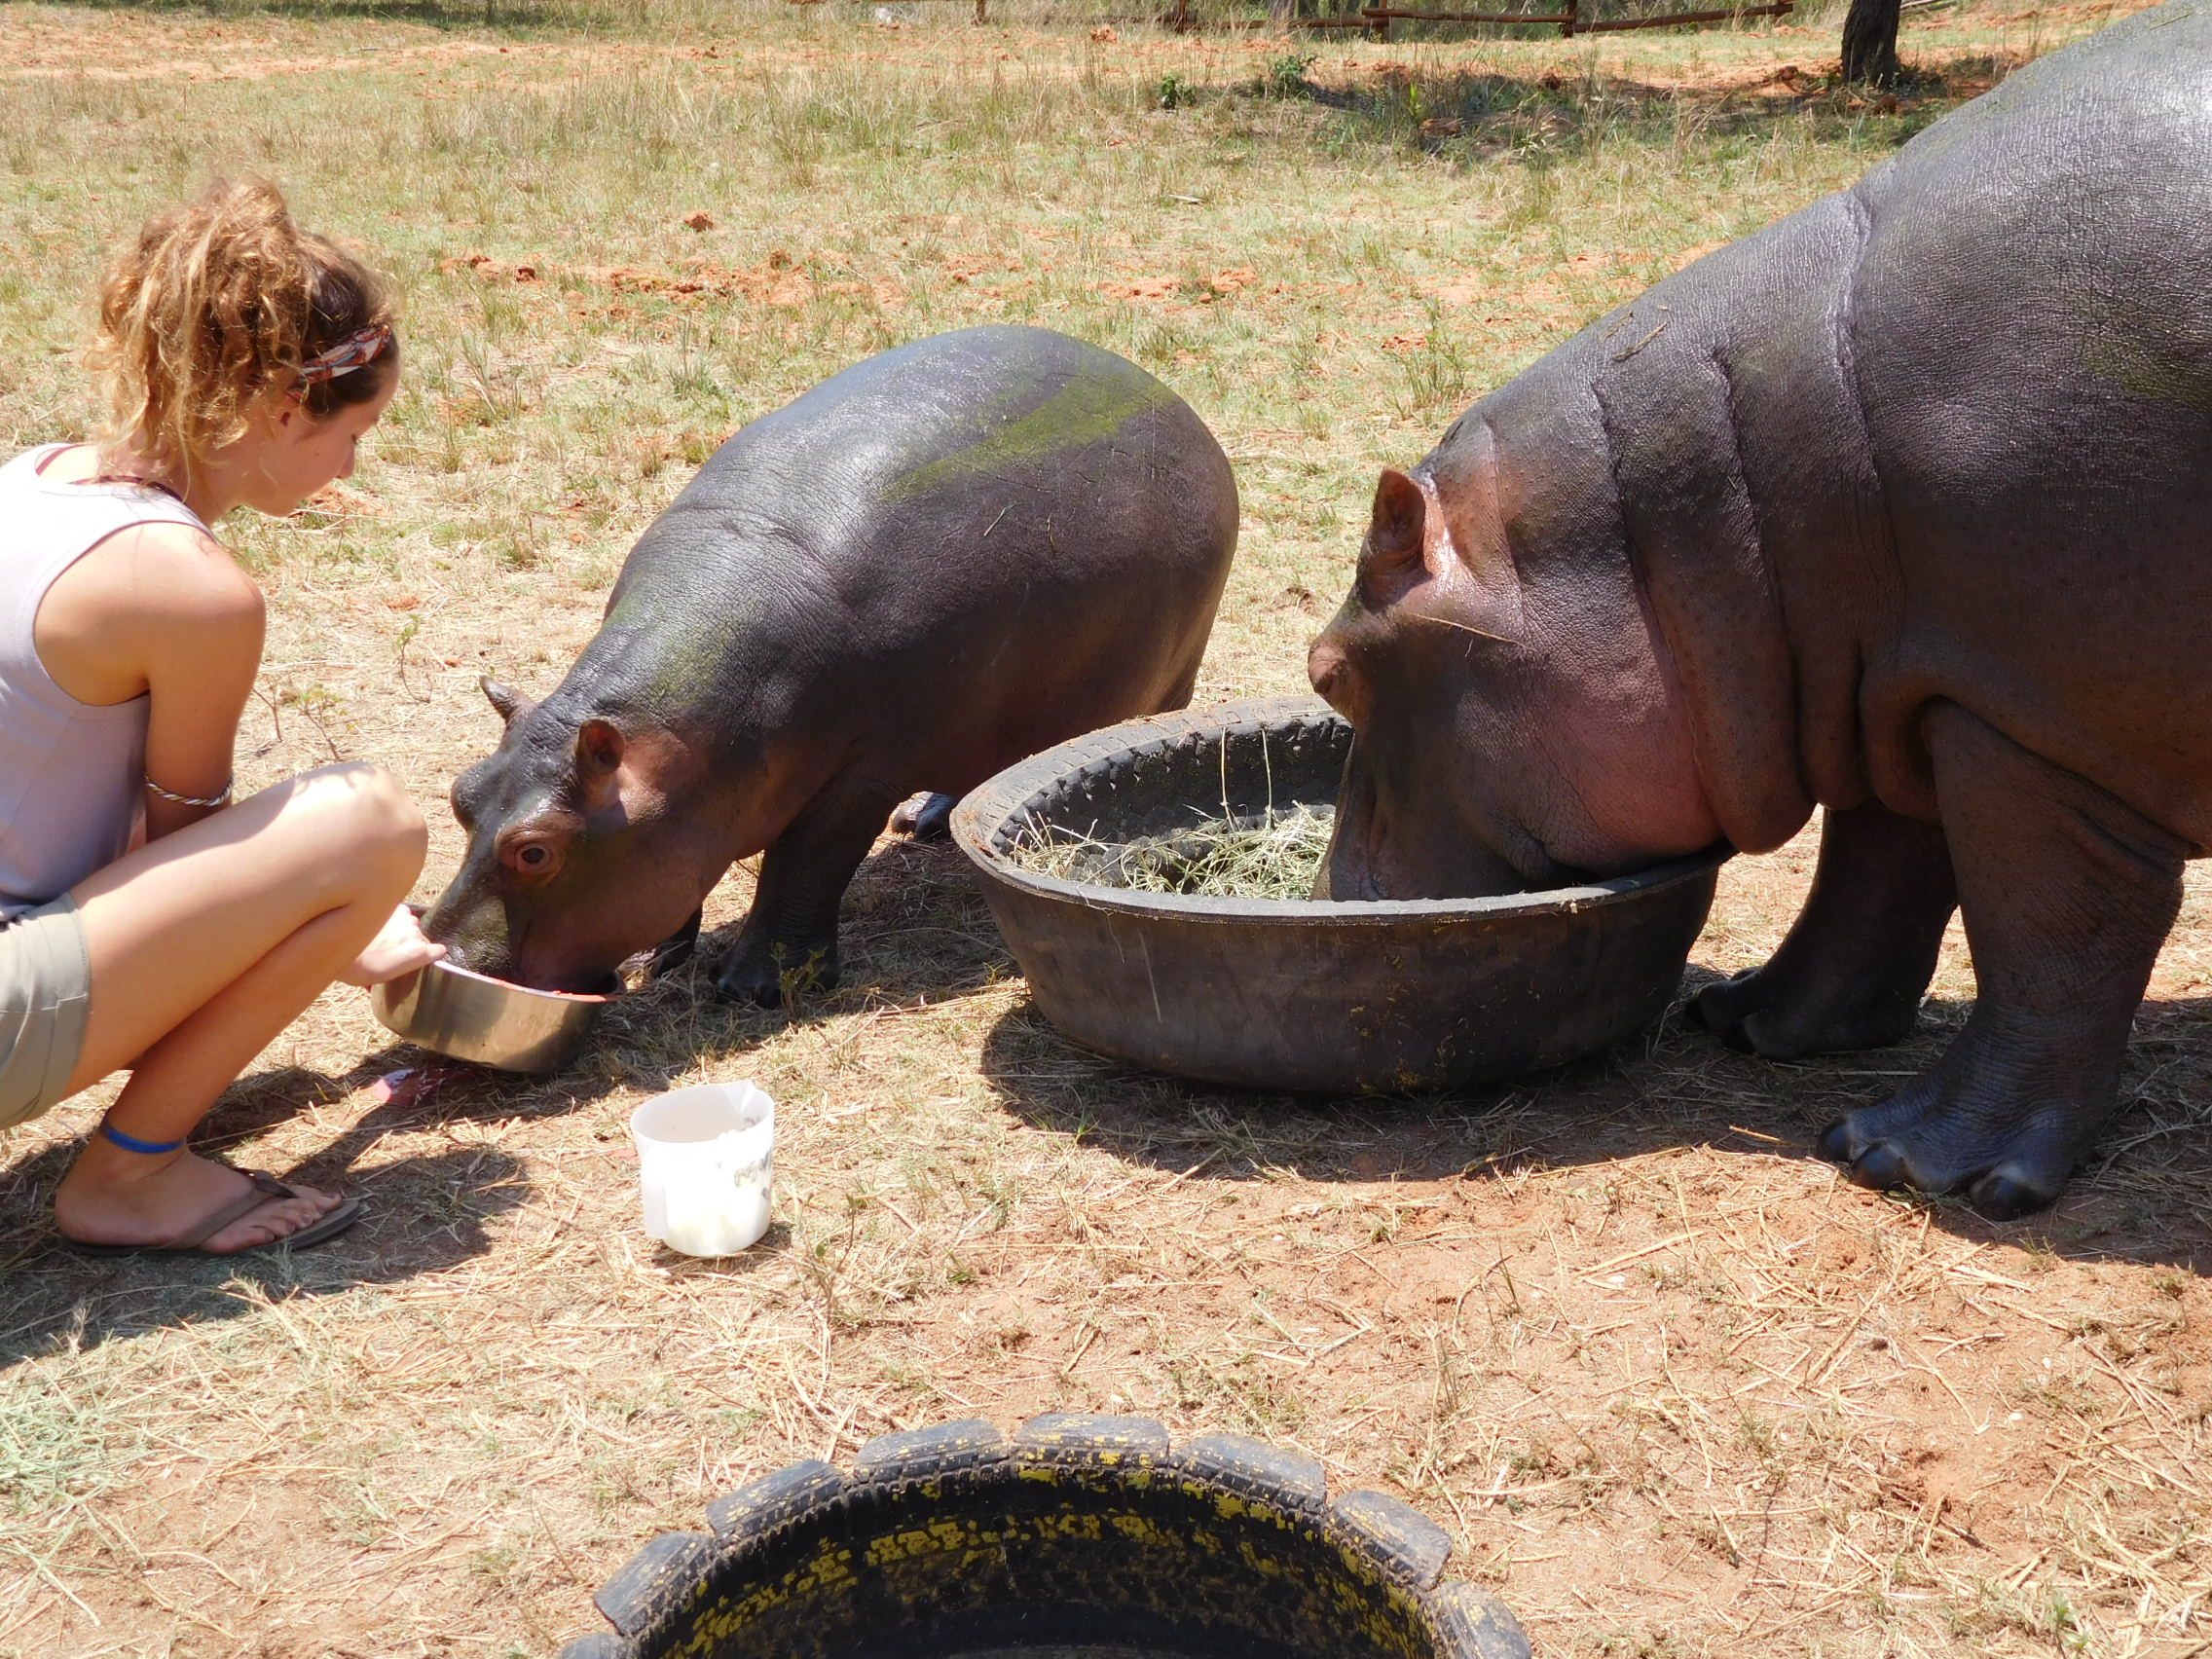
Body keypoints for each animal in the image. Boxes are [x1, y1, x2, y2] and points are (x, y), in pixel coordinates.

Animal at [422, 320, 1238, 999]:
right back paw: (928, 820)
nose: (441, 958)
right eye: (461, 794)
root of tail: (1174, 403)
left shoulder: (861, 773)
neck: (670, 736)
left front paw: (752, 988)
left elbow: (803, 866)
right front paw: (656, 958)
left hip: (1172, 672)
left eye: (535, 852)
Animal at [1300, 0, 2212, 1221]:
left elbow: (2049, 934)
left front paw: (1907, 1159)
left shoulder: (2025, 723)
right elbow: (1874, 873)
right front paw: (1746, 1021)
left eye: (1331, 672)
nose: (1326, 903)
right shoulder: (1887, 681)